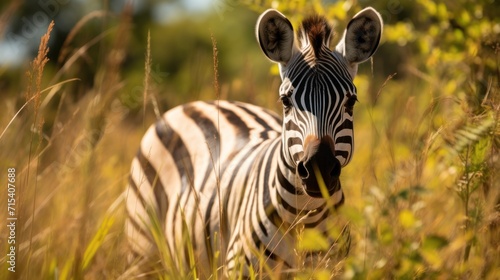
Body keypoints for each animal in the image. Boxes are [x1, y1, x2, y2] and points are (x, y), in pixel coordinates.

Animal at [126, 6, 382, 278]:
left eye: (350, 102)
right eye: (285, 101)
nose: (318, 170)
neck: (306, 216)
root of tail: (192, 104)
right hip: (141, 247)